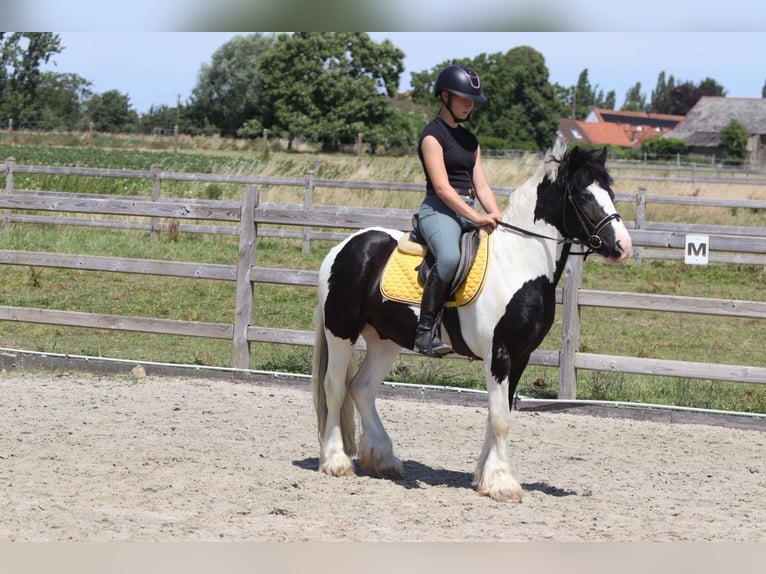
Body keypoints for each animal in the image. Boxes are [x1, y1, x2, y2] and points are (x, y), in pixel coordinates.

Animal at [311, 142, 633, 501]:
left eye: (610, 193)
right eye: (585, 195)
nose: (623, 246)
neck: (518, 263)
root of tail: (344, 247)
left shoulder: (520, 356)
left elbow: (498, 413)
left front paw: (484, 478)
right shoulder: (499, 354)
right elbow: (500, 418)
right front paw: (503, 483)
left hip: (384, 340)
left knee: (362, 388)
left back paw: (384, 460)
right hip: (341, 331)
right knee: (335, 388)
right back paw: (336, 461)